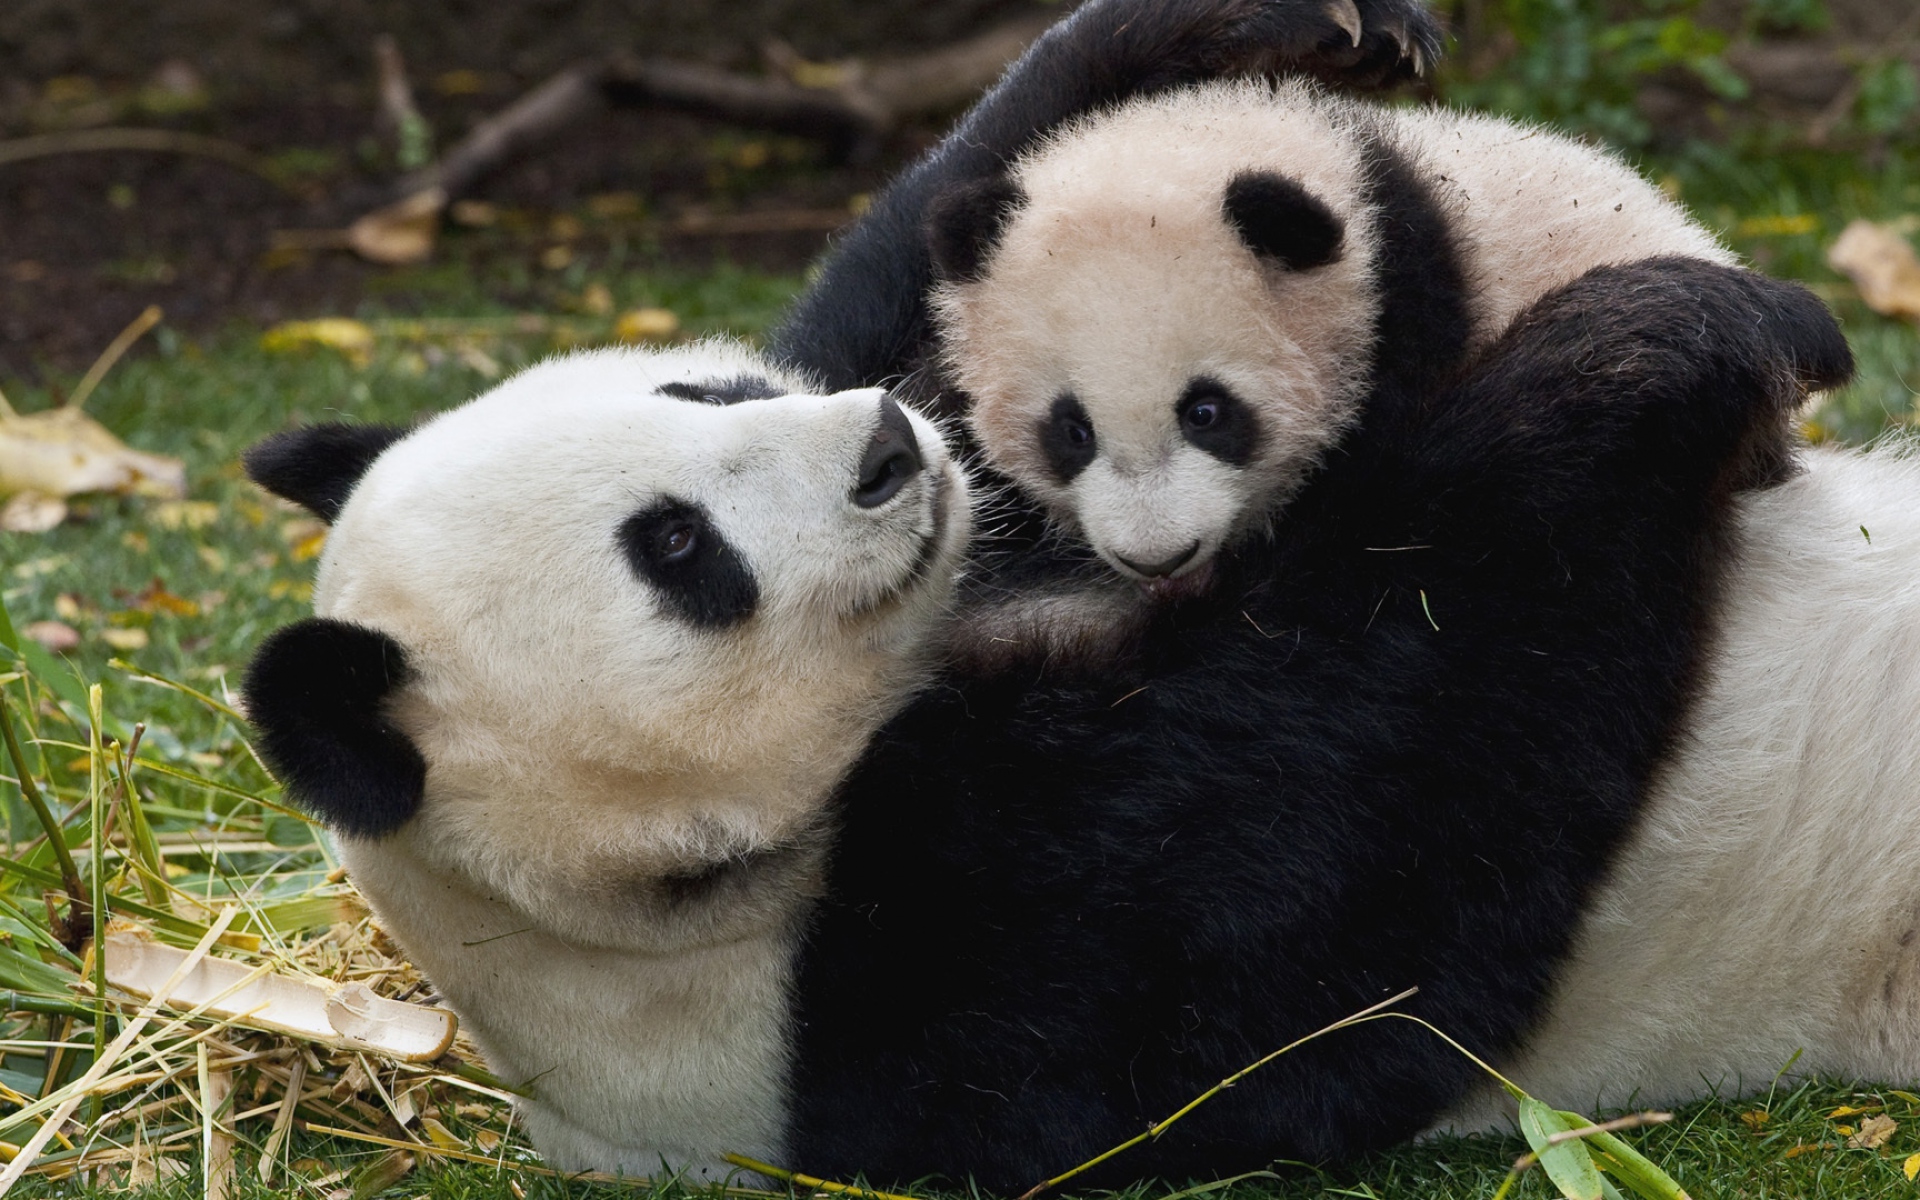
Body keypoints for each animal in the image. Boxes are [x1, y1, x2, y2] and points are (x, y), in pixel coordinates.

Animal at [241, 257, 1848, 1189]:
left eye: (702, 384)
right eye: (677, 549)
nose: (889, 448)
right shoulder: (930, 1000)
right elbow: (1394, 802)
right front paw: (1662, 338)